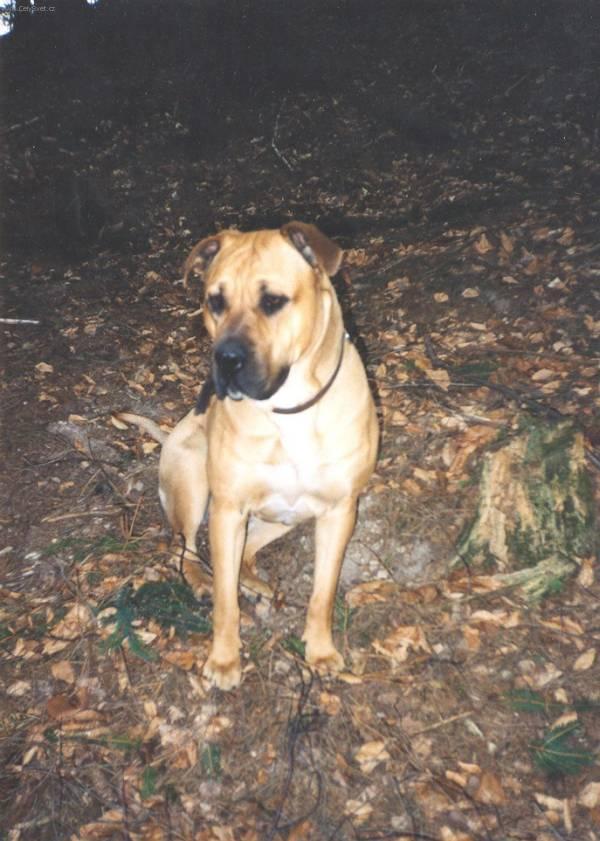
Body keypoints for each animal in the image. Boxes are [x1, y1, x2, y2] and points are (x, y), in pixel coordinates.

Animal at [122, 223, 378, 688]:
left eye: (273, 301)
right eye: (215, 301)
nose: (225, 359)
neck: (289, 409)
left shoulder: (339, 512)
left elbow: (322, 594)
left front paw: (320, 650)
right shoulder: (227, 510)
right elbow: (225, 603)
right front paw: (225, 660)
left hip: (285, 518)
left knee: (247, 556)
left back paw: (256, 584)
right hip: (193, 479)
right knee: (186, 549)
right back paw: (201, 580)